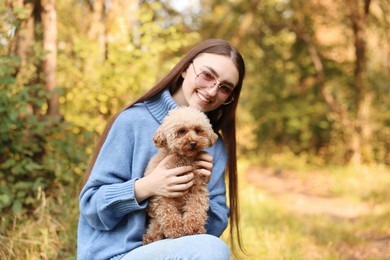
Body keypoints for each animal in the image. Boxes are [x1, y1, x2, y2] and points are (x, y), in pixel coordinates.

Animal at [142, 105, 218, 244]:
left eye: (198, 130)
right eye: (182, 131)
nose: (193, 142)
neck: (184, 159)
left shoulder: (197, 189)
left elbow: (195, 208)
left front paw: (193, 228)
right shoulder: (162, 194)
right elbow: (167, 212)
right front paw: (175, 229)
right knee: (156, 225)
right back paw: (150, 238)